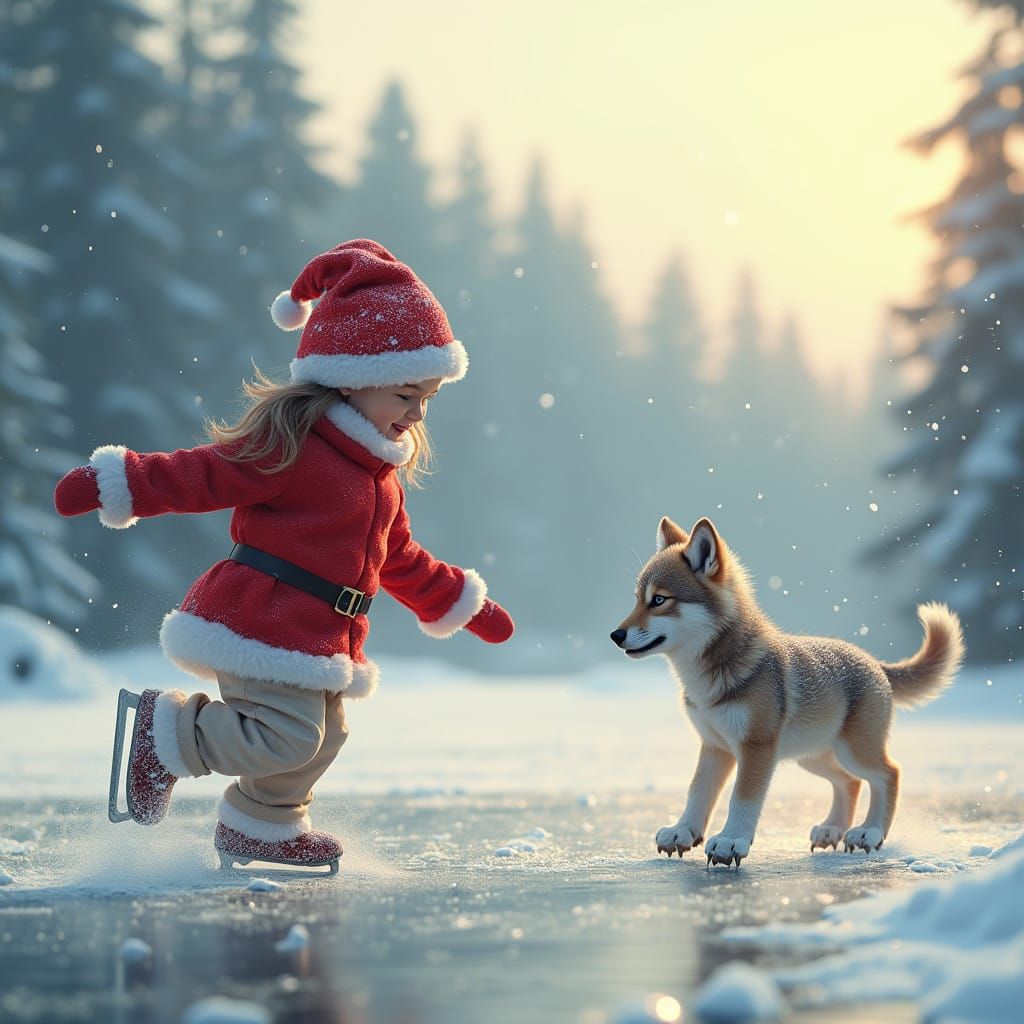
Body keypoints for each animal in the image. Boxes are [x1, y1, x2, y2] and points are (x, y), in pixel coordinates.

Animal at [611, 516, 964, 867]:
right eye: (637, 598)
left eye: (659, 600)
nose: (616, 635)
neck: (709, 677)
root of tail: (876, 664)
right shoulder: (714, 746)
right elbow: (697, 792)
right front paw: (682, 832)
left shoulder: (756, 749)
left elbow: (742, 799)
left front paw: (730, 842)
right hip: (812, 756)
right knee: (850, 782)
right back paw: (833, 830)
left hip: (852, 751)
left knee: (888, 774)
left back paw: (870, 832)